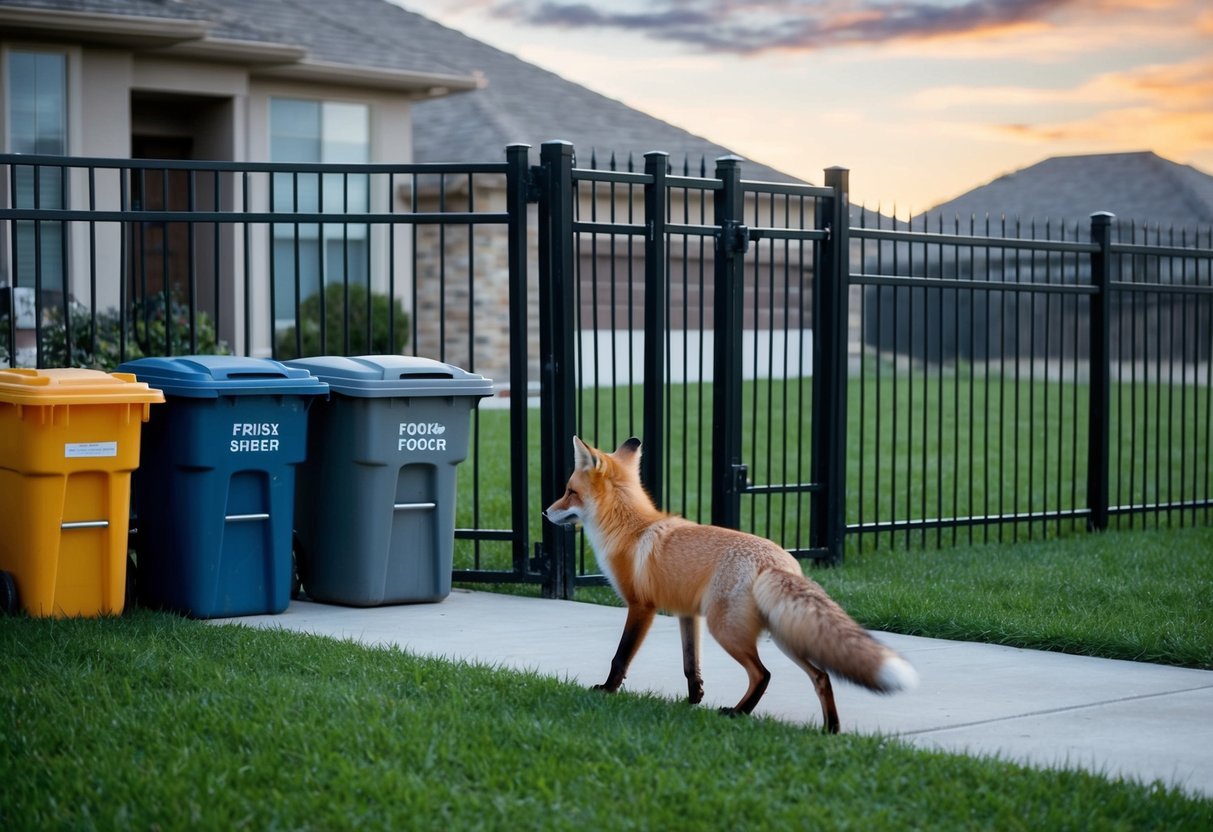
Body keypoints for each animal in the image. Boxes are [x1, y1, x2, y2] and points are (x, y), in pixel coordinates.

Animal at [543, 436, 918, 733]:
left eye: (569, 492)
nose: (545, 513)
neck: (630, 530)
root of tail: (777, 561)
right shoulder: (686, 614)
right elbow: (690, 665)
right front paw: (692, 700)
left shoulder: (641, 606)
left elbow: (620, 658)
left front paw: (606, 691)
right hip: (784, 634)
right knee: (821, 676)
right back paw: (830, 729)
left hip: (726, 630)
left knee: (763, 674)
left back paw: (739, 713)